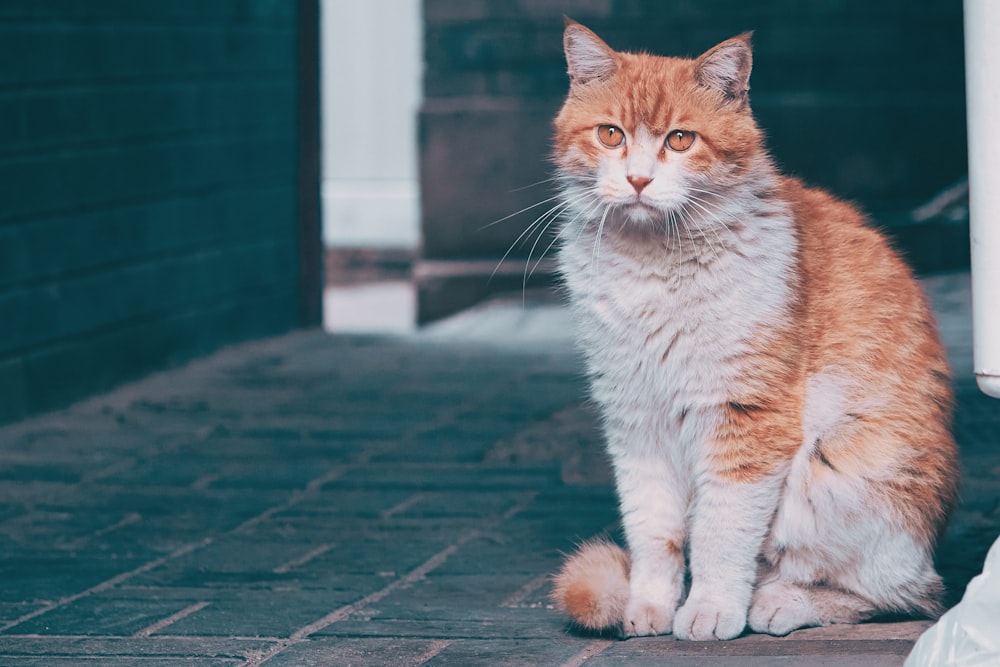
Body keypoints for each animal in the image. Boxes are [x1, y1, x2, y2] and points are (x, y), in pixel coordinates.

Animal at [552, 19, 956, 640]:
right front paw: (650, 605)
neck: (651, 266)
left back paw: (780, 601)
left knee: (903, 594)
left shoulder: (744, 417)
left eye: (680, 140)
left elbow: (721, 531)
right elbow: (654, 532)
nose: (639, 179)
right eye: (611, 134)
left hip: (838, 470)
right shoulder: (635, 421)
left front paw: (711, 609)